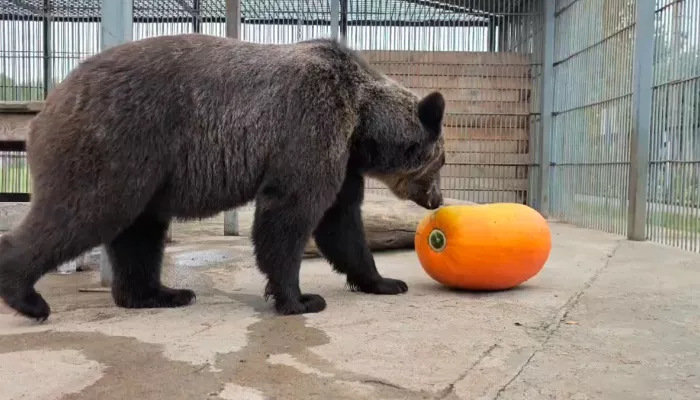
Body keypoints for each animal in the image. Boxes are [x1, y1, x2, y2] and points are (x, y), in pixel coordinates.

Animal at [0, 33, 446, 322]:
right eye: (441, 162)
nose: (437, 200)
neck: (361, 119)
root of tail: (49, 103)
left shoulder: (343, 158)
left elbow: (342, 222)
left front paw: (385, 281)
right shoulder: (309, 127)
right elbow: (291, 213)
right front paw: (300, 298)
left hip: (145, 171)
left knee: (139, 233)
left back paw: (161, 293)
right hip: (117, 144)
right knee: (83, 213)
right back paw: (27, 297)